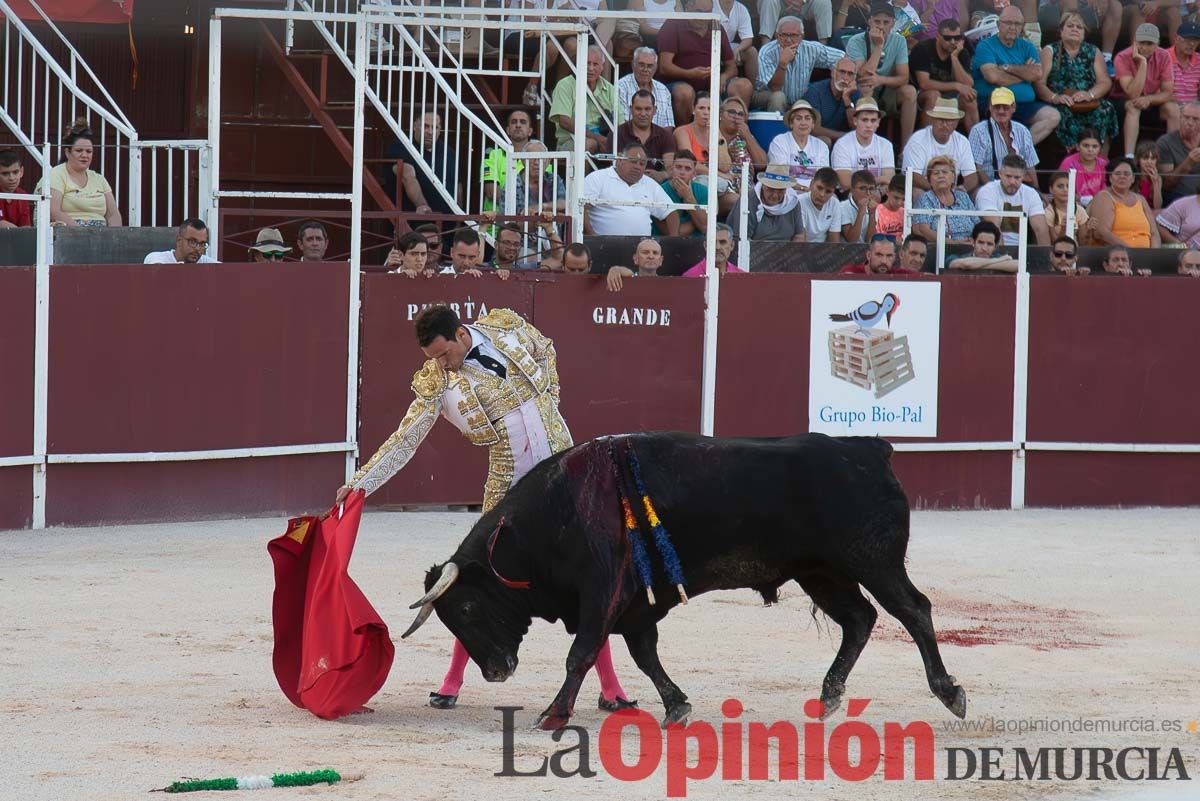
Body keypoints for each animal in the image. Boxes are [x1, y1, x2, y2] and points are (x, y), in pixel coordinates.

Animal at [403, 434, 964, 729]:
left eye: (468, 609)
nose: (496, 671)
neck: (556, 513)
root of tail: (868, 447)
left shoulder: (601, 592)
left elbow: (581, 653)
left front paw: (553, 716)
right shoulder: (633, 607)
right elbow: (645, 655)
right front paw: (676, 705)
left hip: (875, 563)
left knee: (913, 610)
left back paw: (949, 693)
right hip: (820, 573)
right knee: (860, 619)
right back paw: (828, 696)